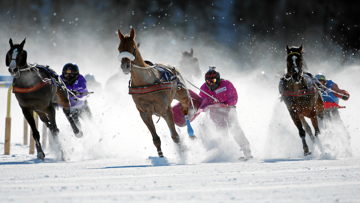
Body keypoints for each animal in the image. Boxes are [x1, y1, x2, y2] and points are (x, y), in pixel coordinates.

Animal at [116, 28, 194, 157]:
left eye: (133, 47)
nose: (125, 66)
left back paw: (191, 133)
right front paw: (161, 156)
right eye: (119, 48)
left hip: (182, 95)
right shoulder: (144, 113)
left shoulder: (166, 110)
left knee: (184, 109)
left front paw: (182, 153)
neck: (145, 83)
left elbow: (175, 136)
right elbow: (156, 138)